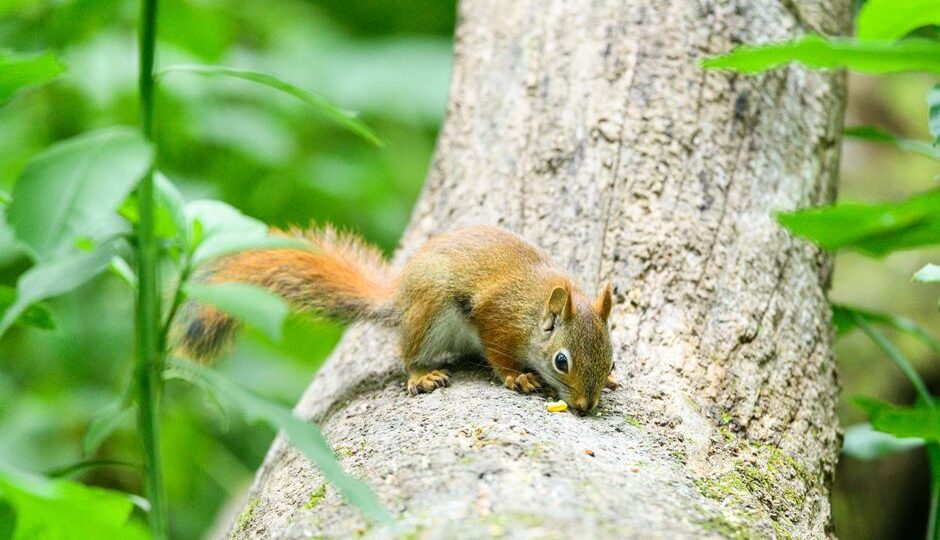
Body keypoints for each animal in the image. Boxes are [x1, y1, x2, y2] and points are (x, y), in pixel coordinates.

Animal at [174, 225, 617, 413]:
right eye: (561, 361)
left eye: (612, 357)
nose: (585, 406)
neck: (535, 309)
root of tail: (400, 300)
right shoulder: (497, 318)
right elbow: (499, 354)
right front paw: (518, 377)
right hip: (430, 312)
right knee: (409, 353)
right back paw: (421, 375)